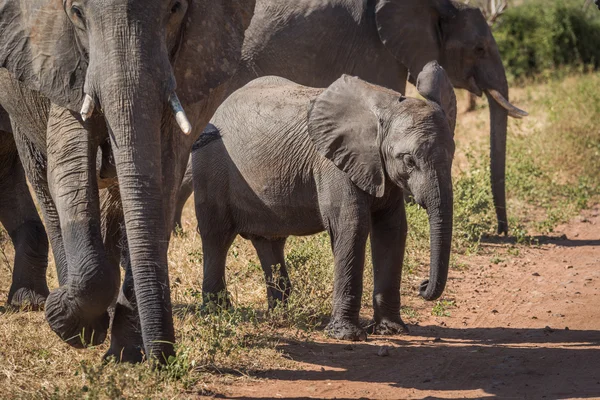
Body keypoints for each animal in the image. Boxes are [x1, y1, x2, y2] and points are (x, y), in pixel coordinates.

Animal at [0, 0, 255, 362]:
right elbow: (68, 164)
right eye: (76, 12)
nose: (165, 359)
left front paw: (126, 356)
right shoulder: (65, 67)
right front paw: (70, 322)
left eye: (176, 9)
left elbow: (163, 174)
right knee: (39, 173)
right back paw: (48, 305)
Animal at [195, 61, 458, 340]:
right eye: (409, 160)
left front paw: (391, 330)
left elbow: (392, 230)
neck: (384, 107)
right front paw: (347, 336)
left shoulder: (381, 169)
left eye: (452, 156)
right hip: (209, 166)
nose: (422, 285)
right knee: (216, 236)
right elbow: (351, 226)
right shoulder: (334, 164)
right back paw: (217, 313)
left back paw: (279, 314)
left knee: (269, 242)